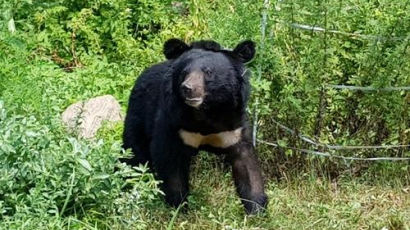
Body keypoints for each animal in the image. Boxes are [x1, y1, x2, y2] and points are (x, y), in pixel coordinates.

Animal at [123, 38, 268, 214]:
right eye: (184, 73)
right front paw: (179, 206)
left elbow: (246, 164)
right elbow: (170, 161)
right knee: (134, 153)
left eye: (208, 72)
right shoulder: (174, 121)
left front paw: (256, 208)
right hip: (139, 115)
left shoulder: (234, 126)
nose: (187, 88)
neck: (206, 112)